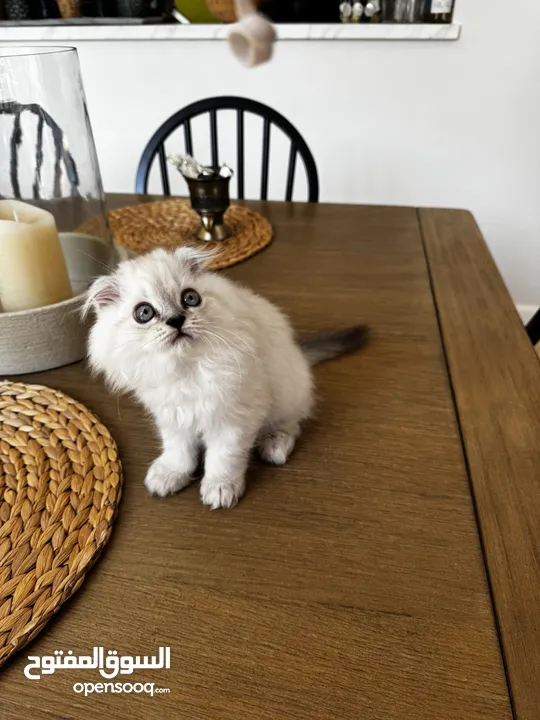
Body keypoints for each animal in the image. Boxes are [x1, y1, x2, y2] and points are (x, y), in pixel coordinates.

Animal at [84, 250, 368, 510]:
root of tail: (298, 352)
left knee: (292, 422)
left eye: (190, 298)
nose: (177, 320)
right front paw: (171, 475)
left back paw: (274, 446)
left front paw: (220, 489)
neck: (186, 370)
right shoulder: (172, 416)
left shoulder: (233, 418)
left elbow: (223, 458)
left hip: (287, 391)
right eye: (144, 312)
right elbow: (178, 452)